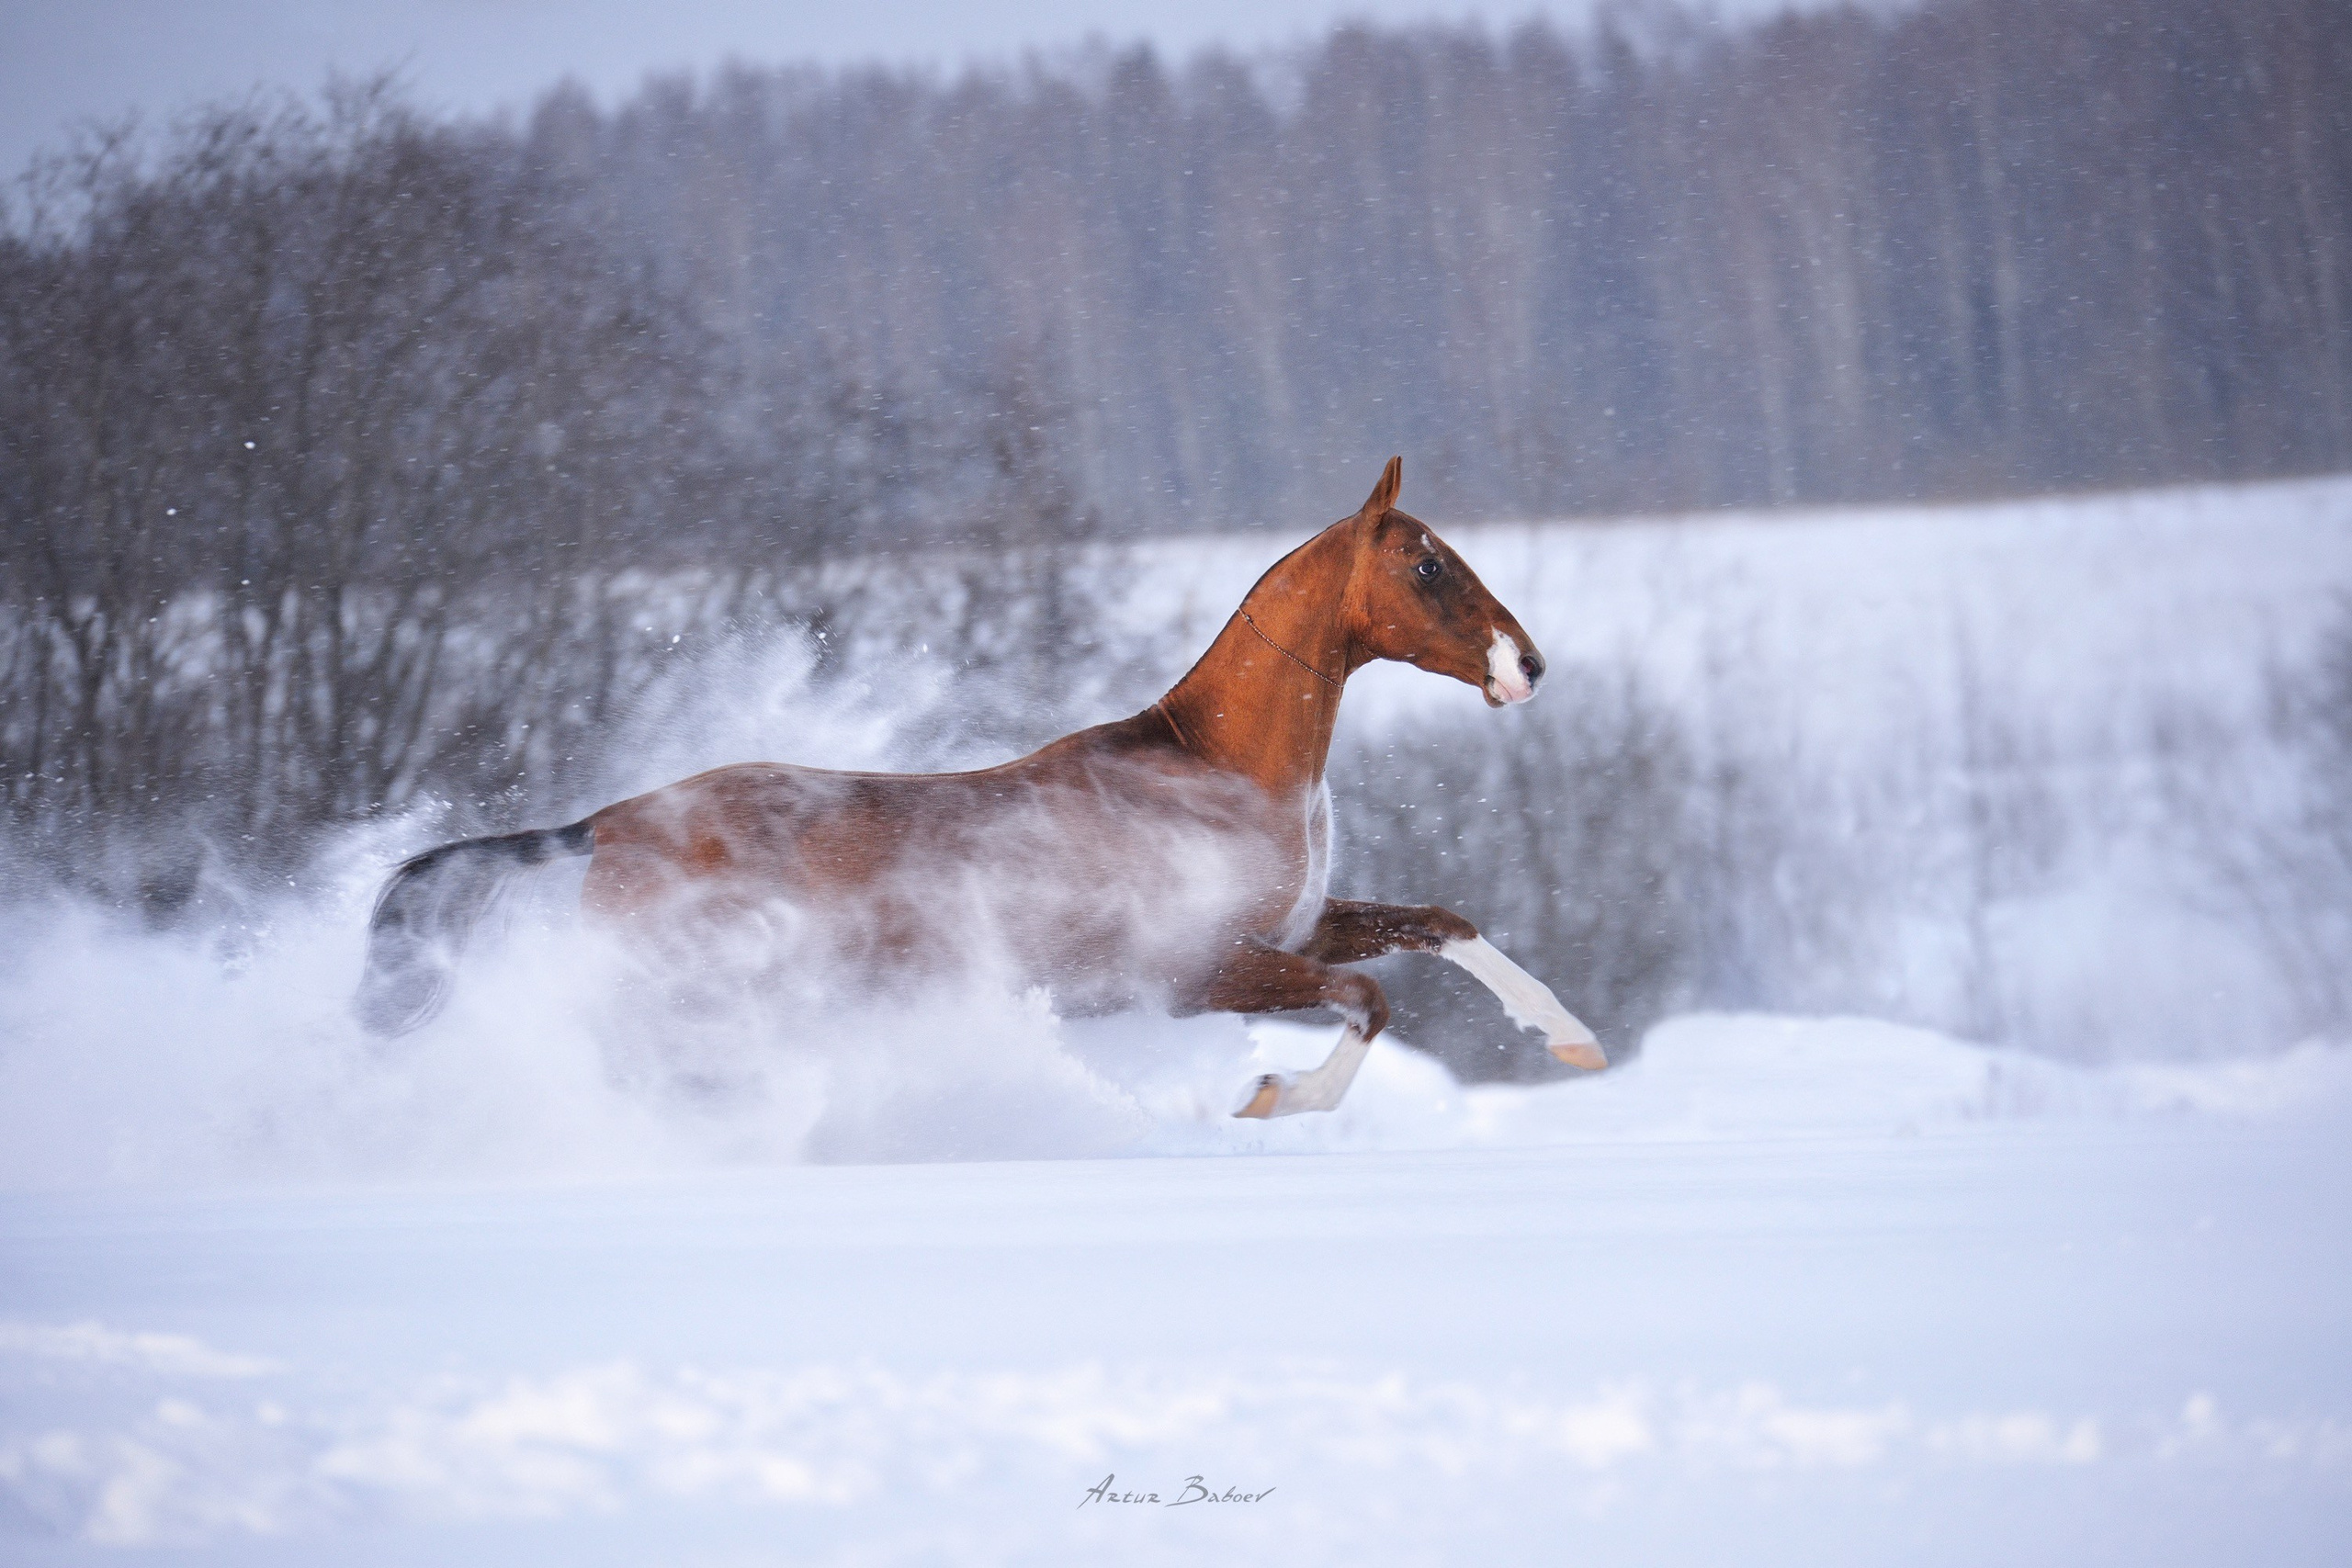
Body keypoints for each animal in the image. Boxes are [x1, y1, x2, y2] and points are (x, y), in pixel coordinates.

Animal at [355, 456, 1604, 1118]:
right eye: (1427, 563)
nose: (1529, 665)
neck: (1219, 776)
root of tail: (610, 824)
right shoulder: (1197, 975)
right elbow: (1370, 1001)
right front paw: (1270, 1098)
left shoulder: (1298, 928)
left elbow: (1443, 926)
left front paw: (1571, 1041)